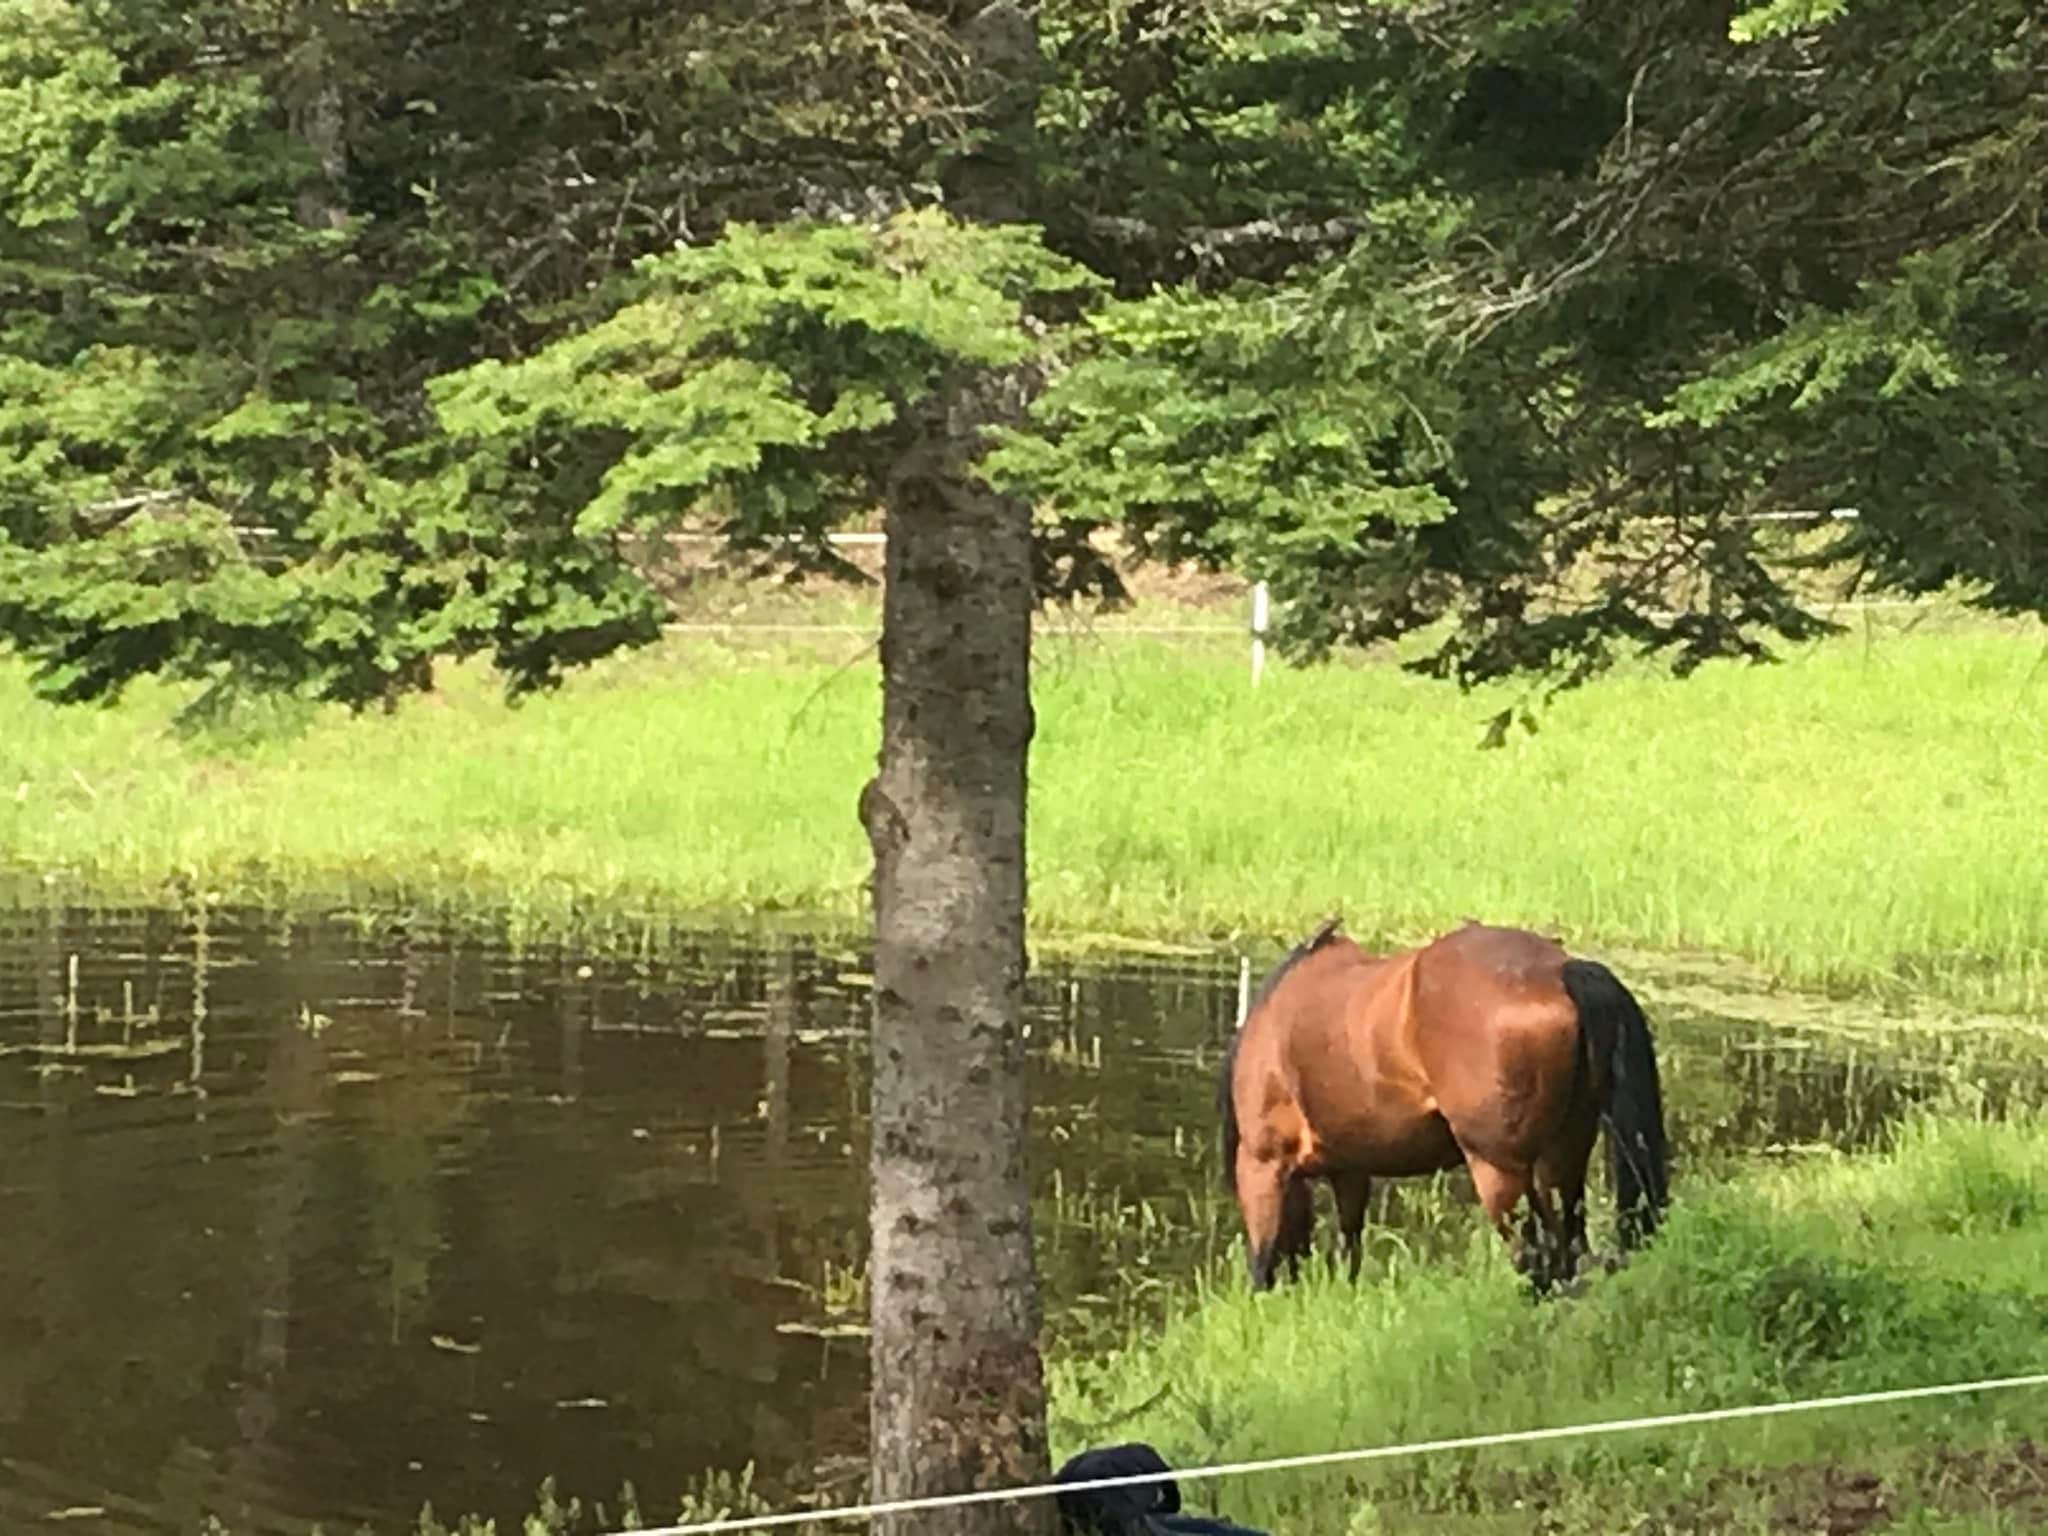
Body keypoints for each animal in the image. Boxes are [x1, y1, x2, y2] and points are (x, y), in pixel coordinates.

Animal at [1217, 916, 1669, 1295]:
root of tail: (1562, 970)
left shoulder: (1262, 1163)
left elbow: (1262, 1260)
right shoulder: (1350, 1171)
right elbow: (1350, 1249)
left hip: (1500, 1171)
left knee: (1536, 1259)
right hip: (1561, 1163)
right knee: (1567, 1253)